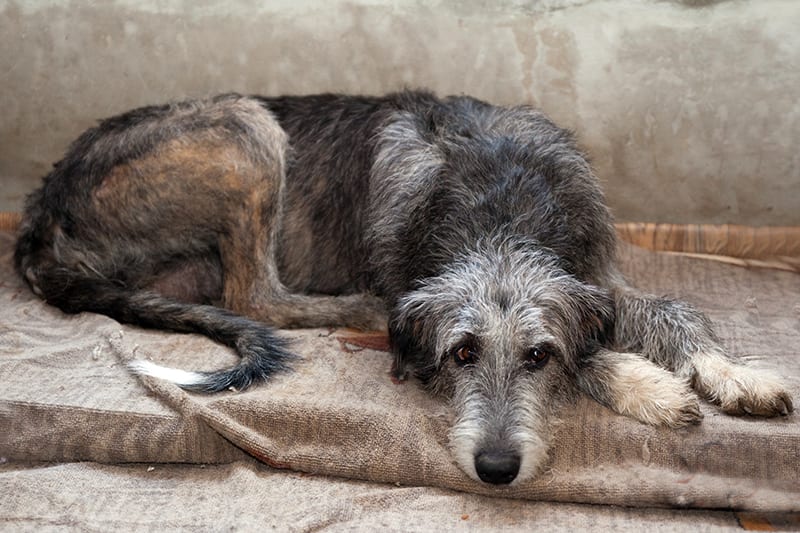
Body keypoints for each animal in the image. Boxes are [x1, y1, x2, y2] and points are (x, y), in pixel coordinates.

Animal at [14, 92, 792, 486]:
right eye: (462, 354)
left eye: (536, 356)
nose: (497, 468)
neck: (498, 207)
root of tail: (39, 214)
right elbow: (598, 349)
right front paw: (649, 385)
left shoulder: (594, 267)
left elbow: (669, 309)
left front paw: (732, 373)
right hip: (244, 129)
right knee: (254, 294)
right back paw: (356, 306)